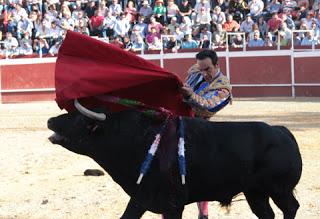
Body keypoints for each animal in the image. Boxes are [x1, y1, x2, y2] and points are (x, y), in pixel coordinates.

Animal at [47, 108, 302, 218]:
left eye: (79, 118)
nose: (50, 120)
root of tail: (282, 131)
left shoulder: (172, 203)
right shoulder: (140, 197)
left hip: (279, 190)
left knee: (291, 208)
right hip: (255, 193)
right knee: (267, 214)